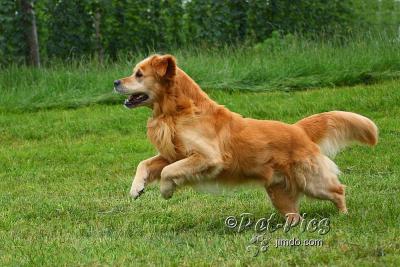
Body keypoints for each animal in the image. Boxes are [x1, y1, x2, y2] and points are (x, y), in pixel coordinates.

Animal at [113, 54, 378, 222]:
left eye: (138, 74)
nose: (115, 81)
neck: (176, 112)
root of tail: (298, 129)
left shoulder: (208, 157)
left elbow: (169, 171)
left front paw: (166, 190)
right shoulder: (172, 154)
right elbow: (146, 163)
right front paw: (136, 188)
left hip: (312, 181)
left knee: (338, 190)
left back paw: (344, 215)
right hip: (279, 192)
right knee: (295, 215)